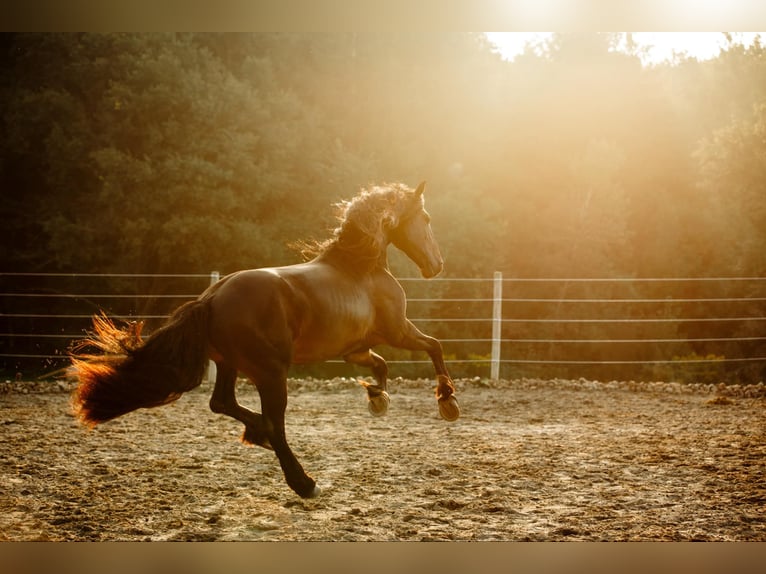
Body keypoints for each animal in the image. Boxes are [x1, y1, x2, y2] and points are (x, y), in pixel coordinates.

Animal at [69, 181, 460, 500]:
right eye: (425, 218)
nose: (437, 265)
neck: (359, 270)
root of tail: (213, 297)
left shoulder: (355, 350)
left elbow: (381, 365)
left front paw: (377, 399)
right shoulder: (397, 330)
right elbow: (434, 346)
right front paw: (447, 401)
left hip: (229, 363)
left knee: (222, 403)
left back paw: (257, 434)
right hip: (271, 372)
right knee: (274, 422)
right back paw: (303, 481)